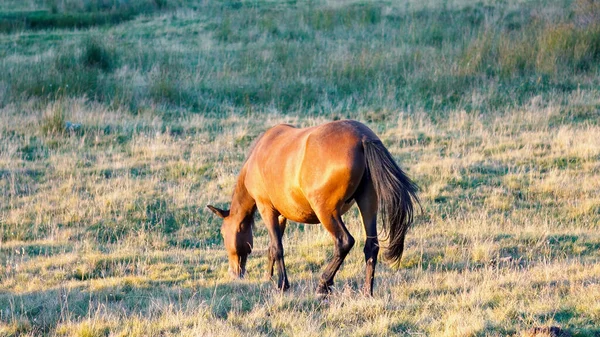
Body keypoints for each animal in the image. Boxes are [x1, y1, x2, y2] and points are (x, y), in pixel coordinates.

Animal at [209, 118, 420, 294]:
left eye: (223, 234)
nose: (234, 273)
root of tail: (363, 138)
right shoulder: (281, 214)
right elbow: (273, 247)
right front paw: (269, 277)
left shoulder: (266, 209)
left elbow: (277, 247)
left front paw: (282, 284)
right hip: (368, 204)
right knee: (371, 246)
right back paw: (367, 292)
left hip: (326, 212)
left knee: (344, 242)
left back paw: (323, 284)